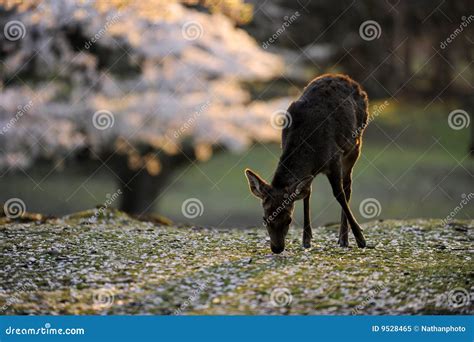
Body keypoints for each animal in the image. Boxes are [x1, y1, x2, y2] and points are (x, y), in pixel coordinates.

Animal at [246, 73, 368, 252]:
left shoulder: (334, 157)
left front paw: (361, 239)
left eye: (289, 220)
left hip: (355, 145)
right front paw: (306, 239)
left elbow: (339, 194)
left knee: (347, 187)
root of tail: (346, 78)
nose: (277, 248)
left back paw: (344, 238)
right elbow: (307, 193)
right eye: (264, 218)